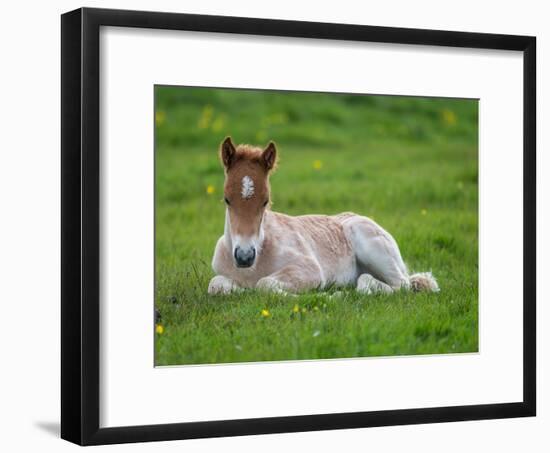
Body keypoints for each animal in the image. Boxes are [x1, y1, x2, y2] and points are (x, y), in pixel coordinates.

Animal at [209, 136, 442, 294]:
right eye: (227, 199)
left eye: (265, 201)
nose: (244, 256)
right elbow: (216, 285)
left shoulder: (310, 270)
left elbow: (264, 284)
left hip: (373, 247)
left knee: (401, 285)